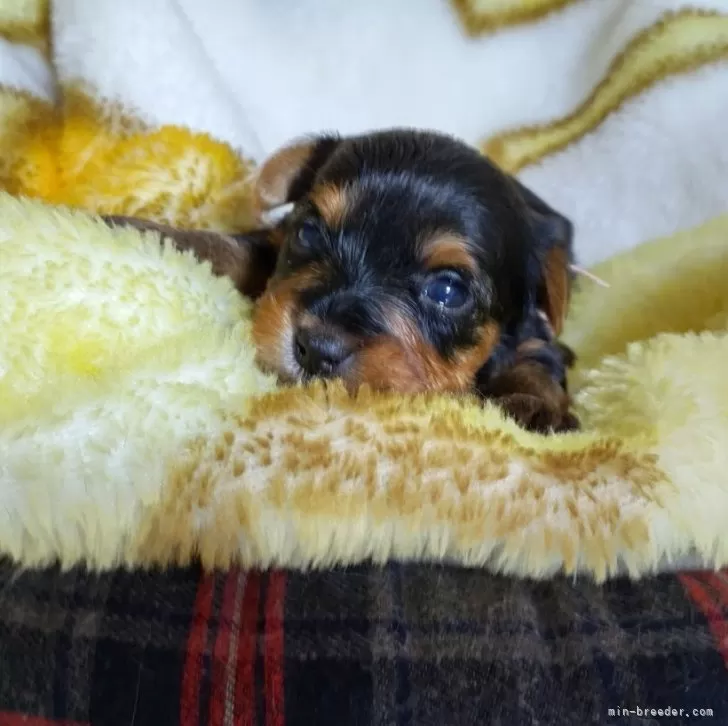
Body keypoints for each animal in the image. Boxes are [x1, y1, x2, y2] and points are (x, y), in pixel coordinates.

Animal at [104, 129, 580, 436]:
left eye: (448, 291)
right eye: (309, 233)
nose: (316, 350)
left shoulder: (532, 332)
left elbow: (536, 358)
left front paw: (532, 405)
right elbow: (231, 250)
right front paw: (139, 231)